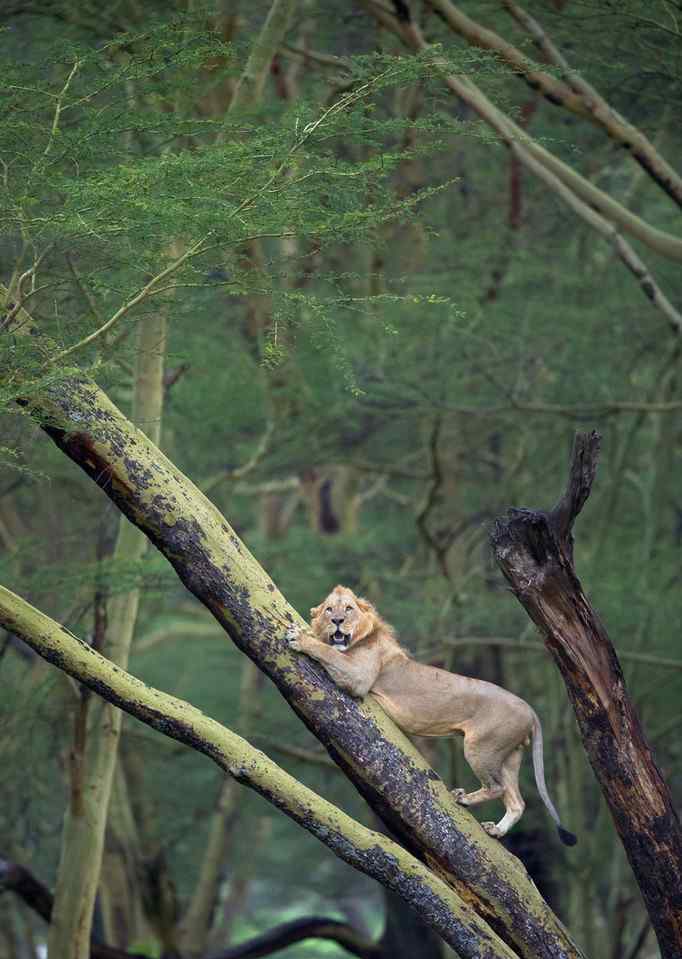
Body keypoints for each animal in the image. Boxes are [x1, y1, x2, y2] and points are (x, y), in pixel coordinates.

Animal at [286, 580, 572, 844]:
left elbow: (327, 651)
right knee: (517, 801)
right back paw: (496, 830)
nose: (337, 621)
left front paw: (299, 637)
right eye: (329, 609)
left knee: (497, 787)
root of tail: (530, 709)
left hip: (481, 746)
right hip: (510, 754)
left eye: (349, 609)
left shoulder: (359, 677)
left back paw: (463, 799)